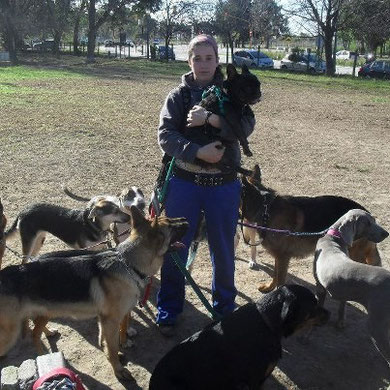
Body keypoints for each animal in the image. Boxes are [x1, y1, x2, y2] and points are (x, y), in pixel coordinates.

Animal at [0, 207, 189, 380]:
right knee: (30, 335)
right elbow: (112, 347)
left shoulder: (106, 319)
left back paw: (46, 352)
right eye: (170, 225)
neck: (128, 263)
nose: (186, 220)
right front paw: (118, 370)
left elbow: (107, 340)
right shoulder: (110, 320)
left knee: (35, 334)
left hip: (45, 312)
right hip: (10, 333)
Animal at [241, 165, 380, 292]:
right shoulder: (278, 257)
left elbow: (280, 279)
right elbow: (275, 275)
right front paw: (269, 288)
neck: (266, 209)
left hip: (354, 254)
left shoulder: (283, 258)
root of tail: (369, 215)